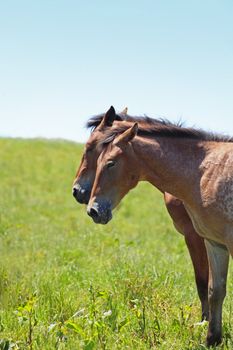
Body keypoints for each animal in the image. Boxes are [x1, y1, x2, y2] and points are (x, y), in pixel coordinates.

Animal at [86, 108, 233, 344]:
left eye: (110, 163)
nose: (93, 210)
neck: (205, 172)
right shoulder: (214, 242)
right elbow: (215, 291)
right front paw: (212, 339)